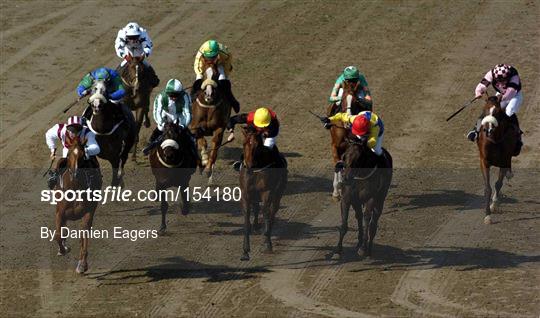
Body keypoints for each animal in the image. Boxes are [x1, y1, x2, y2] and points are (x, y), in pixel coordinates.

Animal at [53, 135, 102, 274]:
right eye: (69, 154)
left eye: (82, 155)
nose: (75, 173)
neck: (75, 187)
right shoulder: (59, 213)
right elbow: (58, 235)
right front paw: (63, 249)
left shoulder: (88, 213)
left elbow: (83, 236)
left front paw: (82, 265)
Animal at [237, 126, 286, 260]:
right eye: (244, 144)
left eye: (257, 145)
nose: (249, 166)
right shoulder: (246, 193)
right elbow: (247, 216)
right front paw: (245, 251)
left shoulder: (266, 192)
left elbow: (266, 213)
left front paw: (267, 243)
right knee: (257, 208)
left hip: (278, 194)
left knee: (272, 212)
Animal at [476, 96, 520, 224]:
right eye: (484, 110)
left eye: (497, 112)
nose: (488, 130)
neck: (494, 140)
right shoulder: (484, 161)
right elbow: (488, 188)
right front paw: (487, 215)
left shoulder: (504, 160)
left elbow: (498, 183)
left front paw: (494, 205)